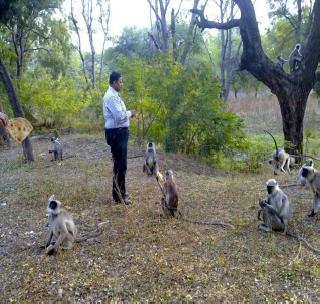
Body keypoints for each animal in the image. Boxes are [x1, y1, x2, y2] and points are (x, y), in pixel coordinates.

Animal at [191, 0, 320, 162]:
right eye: (297, 46)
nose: (298, 46)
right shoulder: (295, 53)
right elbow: (296, 56)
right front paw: (296, 59)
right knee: (293, 61)